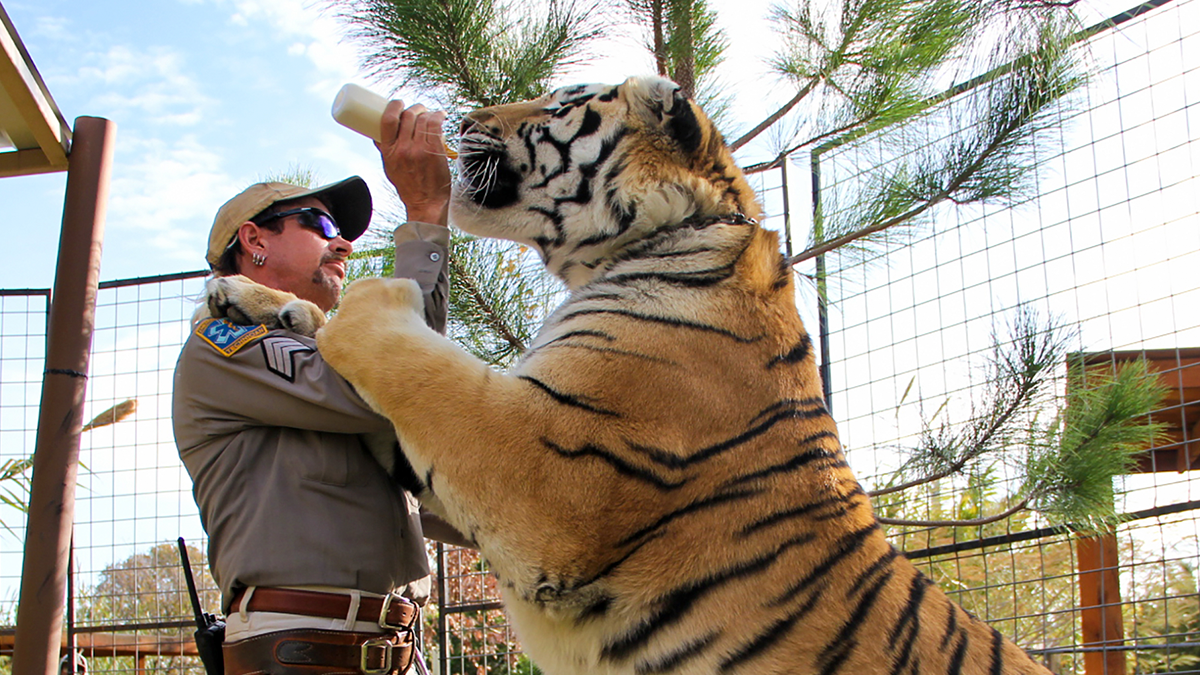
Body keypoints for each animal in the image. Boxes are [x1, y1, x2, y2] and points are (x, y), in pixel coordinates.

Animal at [210, 75, 1051, 675]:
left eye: (557, 102)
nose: (468, 116)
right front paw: (251, 296)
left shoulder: (547, 470)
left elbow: (412, 356)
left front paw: (368, 296)